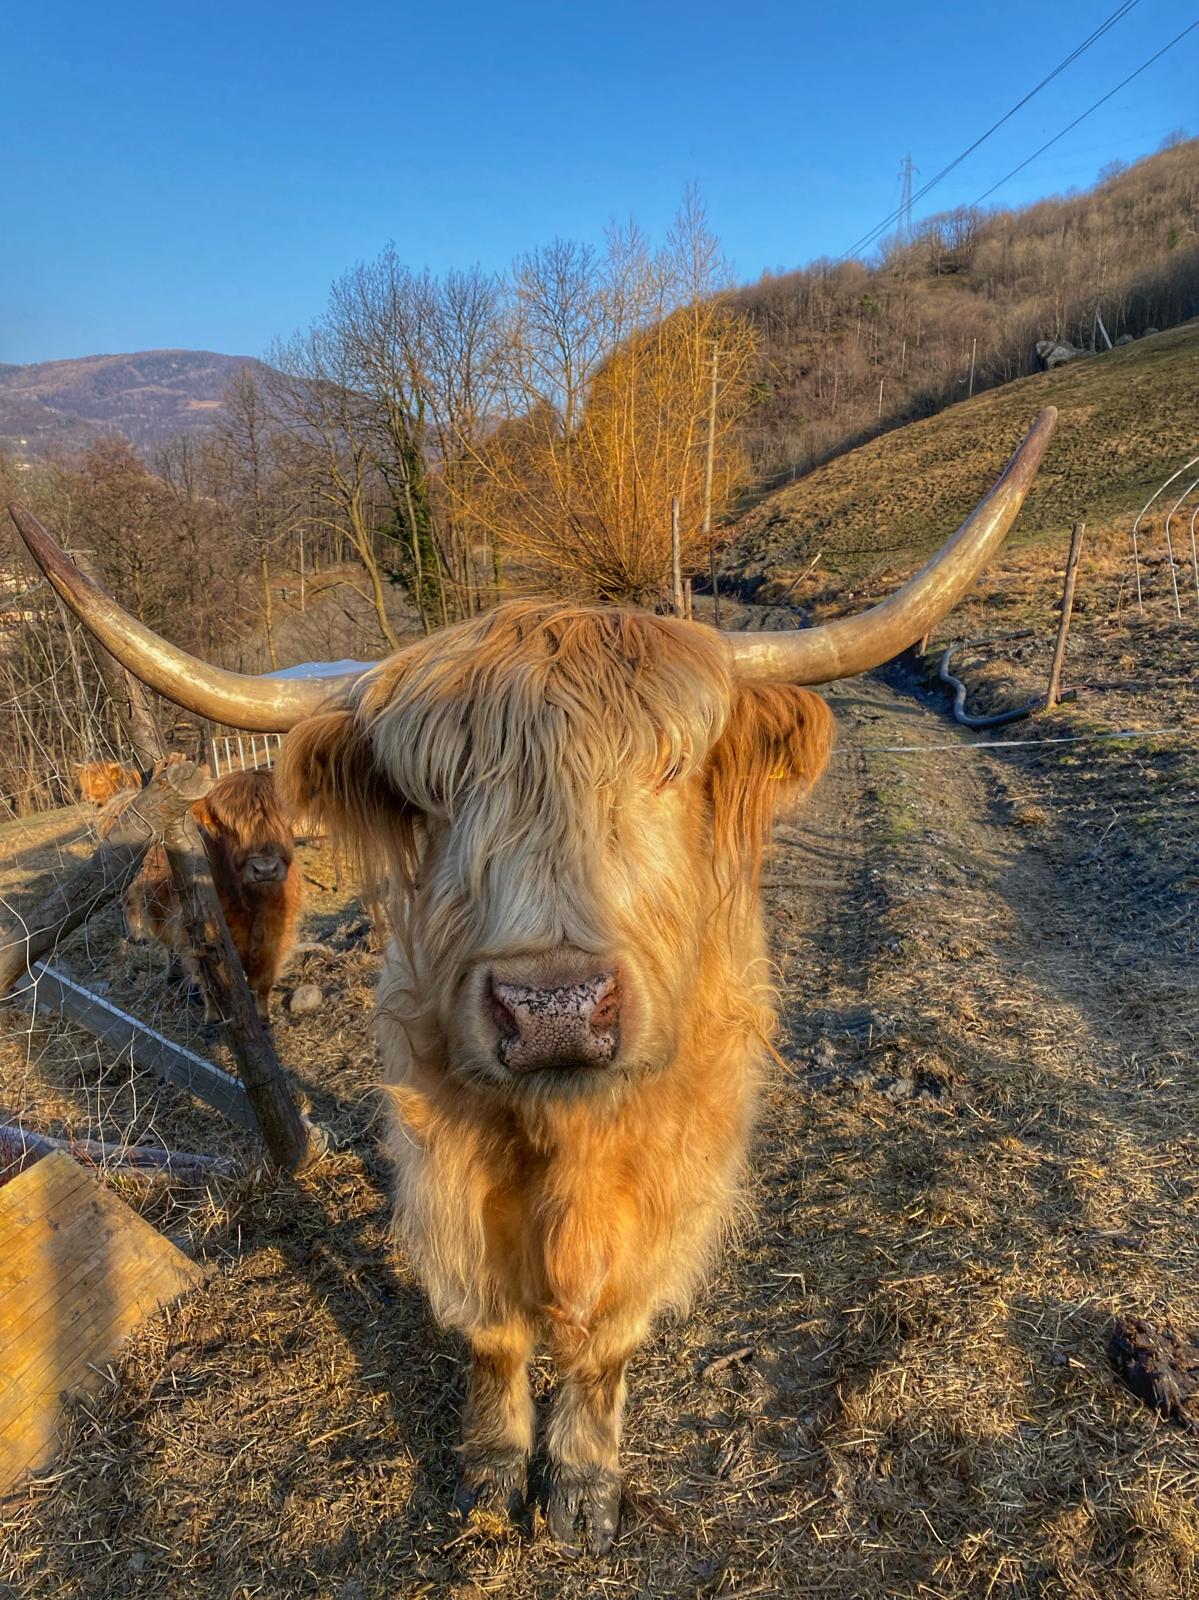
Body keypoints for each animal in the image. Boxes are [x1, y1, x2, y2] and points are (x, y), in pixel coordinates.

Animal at [122, 768, 303, 1021]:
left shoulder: (275, 936)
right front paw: (213, 1016)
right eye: (229, 828)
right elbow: (211, 982)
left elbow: (263, 981)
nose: (265, 869)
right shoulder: (199, 935)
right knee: (169, 947)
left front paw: (263, 1016)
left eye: (285, 819)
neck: (253, 905)